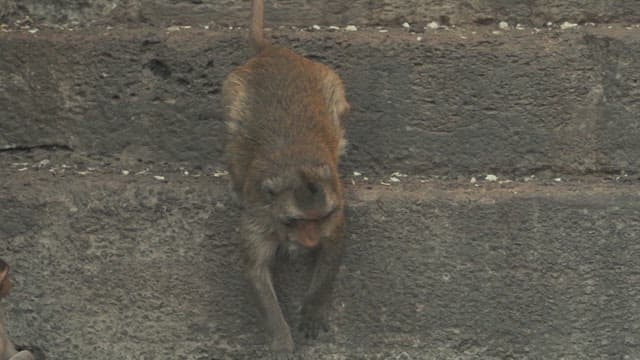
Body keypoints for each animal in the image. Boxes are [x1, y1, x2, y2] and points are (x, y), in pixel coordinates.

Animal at [221, 1, 350, 358]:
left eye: (319, 218)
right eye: (294, 221)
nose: (309, 242)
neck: (296, 169)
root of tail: (273, 52)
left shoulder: (335, 206)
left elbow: (333, 246)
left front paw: (313, 309)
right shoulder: (259, 216)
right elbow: (256, 268)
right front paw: (281, 339)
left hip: (328, 80)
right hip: (233, 91)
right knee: (234, 133)